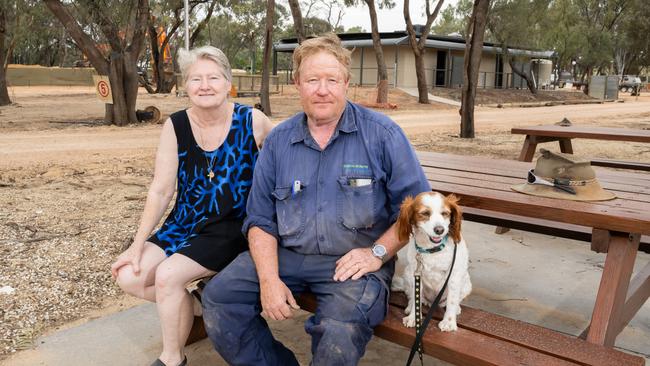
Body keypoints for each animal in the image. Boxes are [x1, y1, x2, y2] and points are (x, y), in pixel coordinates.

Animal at [390, 192, 470, 332]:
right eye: (425, 213)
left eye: (445, 213)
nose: (440, 230)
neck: (432, 249)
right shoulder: (416, 275)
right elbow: (416, 299)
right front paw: (413, 317)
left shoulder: (454, 276)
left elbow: (452, 301)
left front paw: (449, 322)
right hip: (408, 275)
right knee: (412, 296)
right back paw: (410, 307)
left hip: (467, 284)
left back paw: (456, 309)